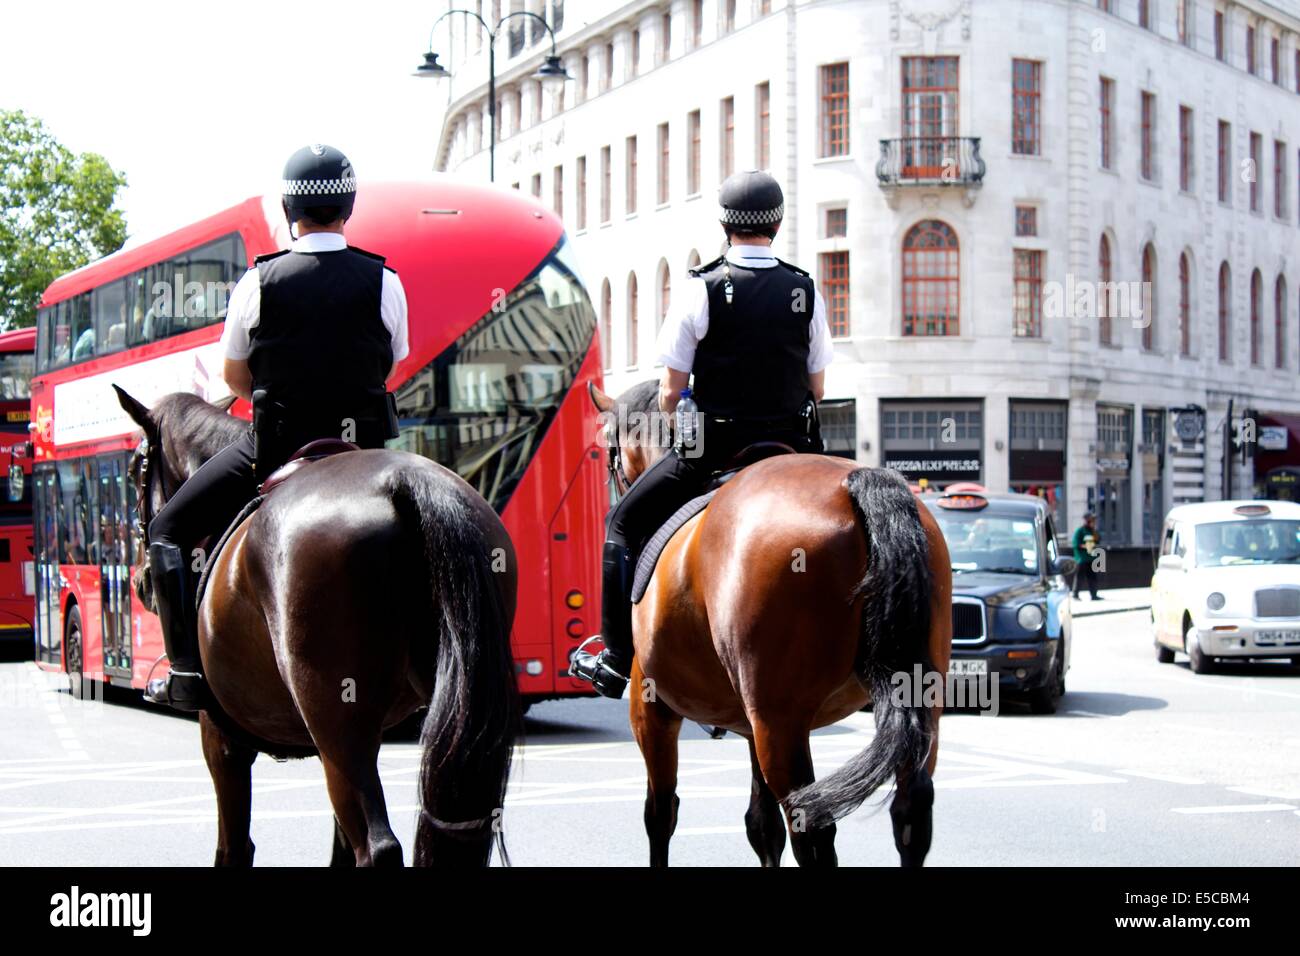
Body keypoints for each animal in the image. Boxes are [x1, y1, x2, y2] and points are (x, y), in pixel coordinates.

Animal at [111, 390, 517, 868]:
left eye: (134, 469)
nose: (140, 583)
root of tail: (402, 482)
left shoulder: (221, 738)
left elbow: (234, 847)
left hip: (336, 719)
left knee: (377, 846)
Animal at [595, 382, 951, 868]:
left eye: (608, 454)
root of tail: (852, 484)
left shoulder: (651, 710)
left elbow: (660, 813)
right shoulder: (747, 724)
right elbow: (761, 826)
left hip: (779, 724)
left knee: (811, 827)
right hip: (916, 701)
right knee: (911, 812)